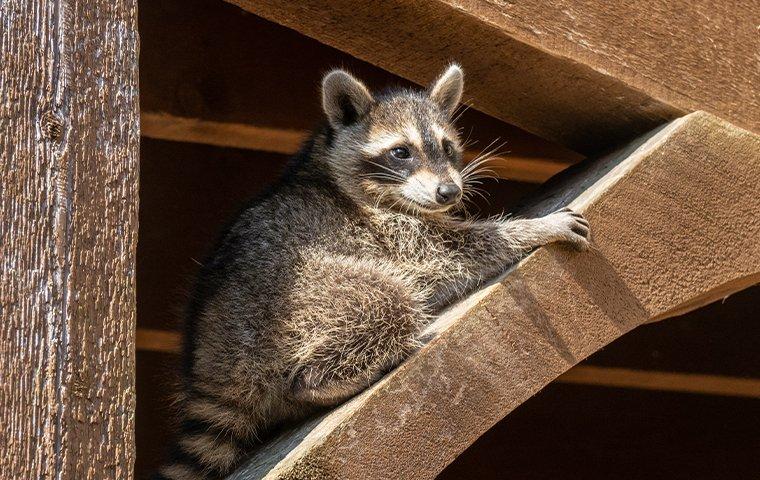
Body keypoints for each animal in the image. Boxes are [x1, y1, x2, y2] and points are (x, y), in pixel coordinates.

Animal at [157, 64, 592, 480]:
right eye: (401, 152)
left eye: (447, 146)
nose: (449, 192)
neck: (327, 163)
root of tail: (210, 360)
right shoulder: (381, 230)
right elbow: (449, 256)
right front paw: (534, 227)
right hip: (293, 305)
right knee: (387, 298)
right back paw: (328, 378)